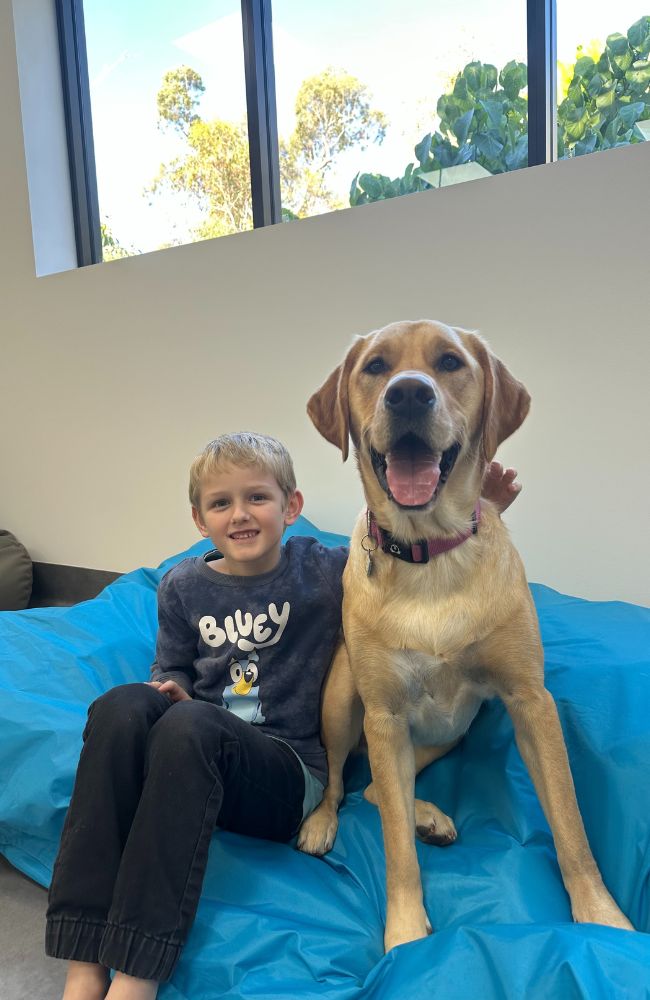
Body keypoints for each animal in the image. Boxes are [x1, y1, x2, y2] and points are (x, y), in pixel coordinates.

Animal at [296, 320, 632, 952]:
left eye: (450, 362)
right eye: (375, 367)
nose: (407, 393)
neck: (430, 555)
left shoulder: (531, 702)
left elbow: (570, 824)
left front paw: (603, 919)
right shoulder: (383, 716)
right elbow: (396, 850)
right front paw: (405, 935)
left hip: (453, 732)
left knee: (380, 790)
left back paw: (426, 814)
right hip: (343, 701)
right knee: (345, 782)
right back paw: (326, 822)